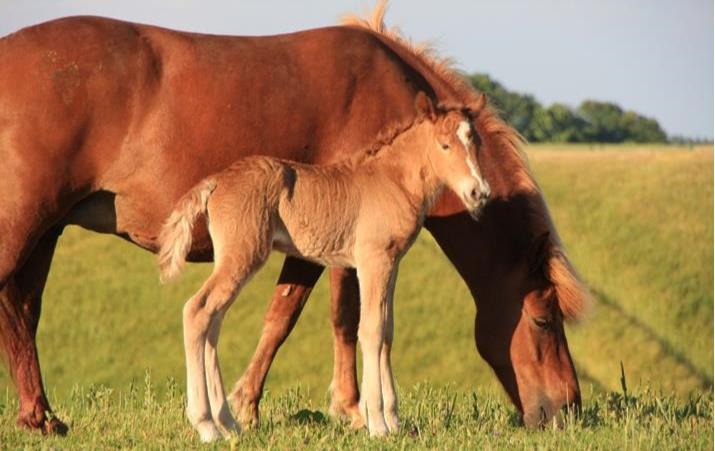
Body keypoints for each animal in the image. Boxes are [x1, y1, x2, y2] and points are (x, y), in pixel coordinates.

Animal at [159, 95, 490, 442]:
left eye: (477, 142)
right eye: (444, 145)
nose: (479, 192)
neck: (392, 180)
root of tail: (217, 180)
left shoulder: (392, 263)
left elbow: (387, 331)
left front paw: (395, 421)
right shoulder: (372, 261)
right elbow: (371, 330)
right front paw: (378, 424)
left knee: (213, 320)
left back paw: (228, 423)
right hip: (243, 255)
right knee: (197, 310)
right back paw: (207, 425)